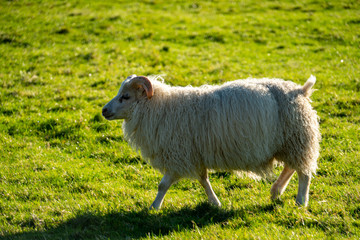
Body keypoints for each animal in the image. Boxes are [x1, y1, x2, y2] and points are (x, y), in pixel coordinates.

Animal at [102, 74, 320, 209]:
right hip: (288, 143)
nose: (104, 111)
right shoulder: (193, 154)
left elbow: (163, 185)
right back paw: (276, 191)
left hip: (297, 139)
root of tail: (300, 90)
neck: (159, 108)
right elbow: (203, 180)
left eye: (125, 96)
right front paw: (215, 203)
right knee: (291, 168)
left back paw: (300, 201)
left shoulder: (178, 155)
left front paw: (153, 207)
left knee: (304, 173)